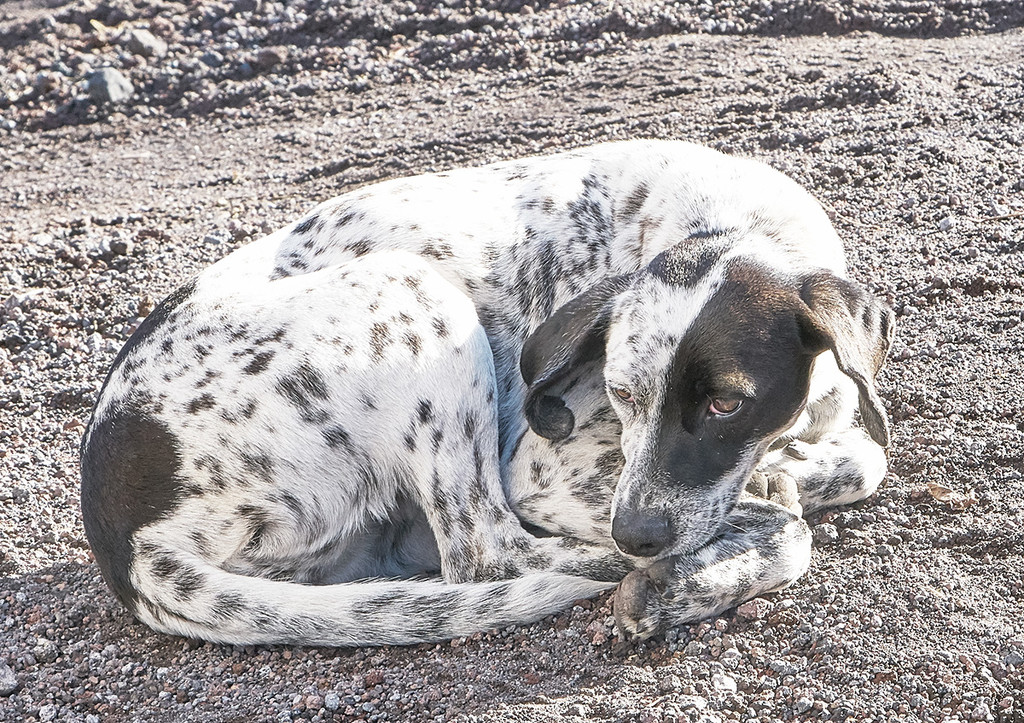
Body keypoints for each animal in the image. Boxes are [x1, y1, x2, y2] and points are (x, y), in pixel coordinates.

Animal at [79, 139, 892, 643]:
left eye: (727, 403)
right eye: (621, 393)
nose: (634, 535)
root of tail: (125, 544)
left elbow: (862, 459)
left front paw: (792, 472)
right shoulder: (542, 470)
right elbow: (790, 519)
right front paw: (702, 562)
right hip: (417, 293)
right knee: (485, 555)